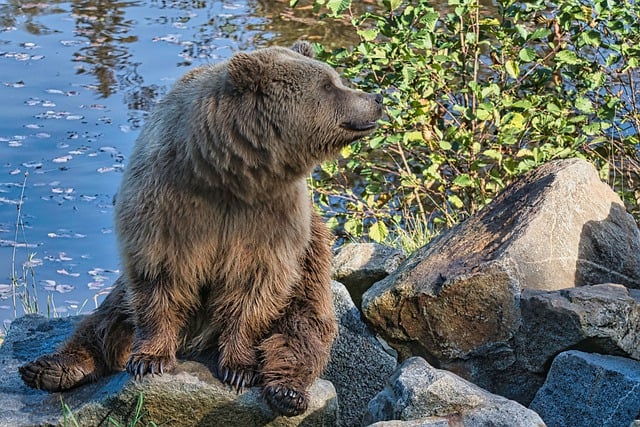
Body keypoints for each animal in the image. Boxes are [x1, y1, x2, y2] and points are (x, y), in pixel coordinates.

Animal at [18, 41, 380, 418]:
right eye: (328, 85)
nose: (376, 97)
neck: (231, 172)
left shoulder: (271, 218)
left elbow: (256, 288)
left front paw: (238, 368)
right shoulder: (170, 201)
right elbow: (159, 277)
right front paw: (150, 359)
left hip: (311, 260)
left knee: (303, 326)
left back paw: (287, 392)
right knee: (107, 317)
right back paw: (50, 369)